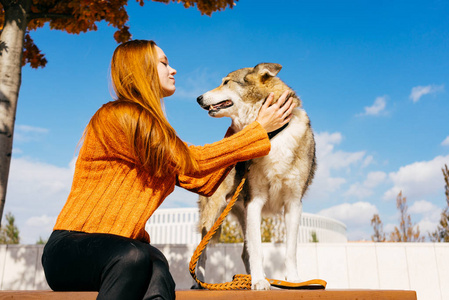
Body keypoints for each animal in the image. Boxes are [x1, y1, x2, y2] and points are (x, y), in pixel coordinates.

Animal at [195, 62, 316, 290]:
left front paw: (294, 280)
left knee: (244, 252)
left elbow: (290, 250)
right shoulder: (255, 201)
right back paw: (200, 283)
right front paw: (260, 281)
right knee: (202, 253)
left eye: (226, 82)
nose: (198, 98)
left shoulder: (293, 203)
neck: (273, 135)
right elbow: (258, 250)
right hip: (213, 215)